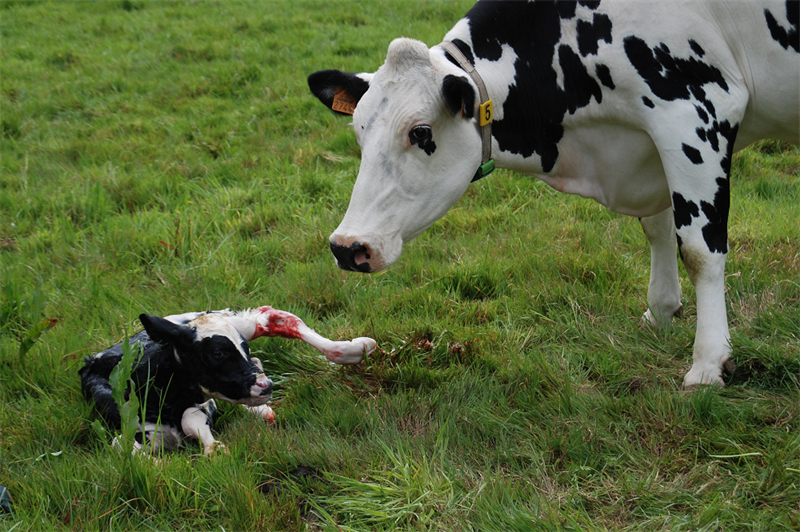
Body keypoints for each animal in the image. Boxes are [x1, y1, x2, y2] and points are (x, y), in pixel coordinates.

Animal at [81, 306, 378, 456]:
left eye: (243, 346)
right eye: (217, 352)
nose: (267, 386)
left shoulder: (201, 403)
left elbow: (192, 418)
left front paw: (213, 448)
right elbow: (121, 445)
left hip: (230, 320)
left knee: (271, 317)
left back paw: (353, 348)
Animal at [310, 0, 800, 386]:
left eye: (420, 132)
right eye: (358, 130)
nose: (347, 246)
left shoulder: (694, 112)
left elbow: (699, 249)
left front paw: (708, 364)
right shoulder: (652, 143)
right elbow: (658, 229)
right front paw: (661, 310)